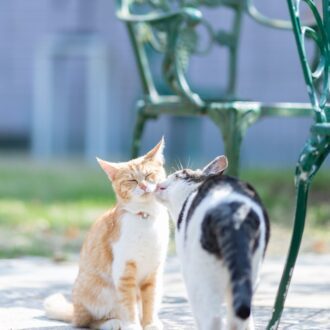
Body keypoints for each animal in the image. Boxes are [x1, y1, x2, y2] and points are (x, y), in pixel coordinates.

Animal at [44, 139, 169, 330]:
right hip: (98, 291)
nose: (142, 185)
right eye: (132, 180)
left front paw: (150, 324)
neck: (145, 217)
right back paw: (113, 322)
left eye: (149, 175)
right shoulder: (124, 271)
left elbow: (150, 301)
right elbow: (128, 303)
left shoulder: (153, 272)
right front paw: (132, 325)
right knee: (88, 321)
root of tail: (74, 312)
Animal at [155, 155, 268, 330]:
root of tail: (233, 213)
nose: (160, 182)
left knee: (212, 318)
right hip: (249, 274)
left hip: (201, 279)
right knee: (239, 319)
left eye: (179, 174)